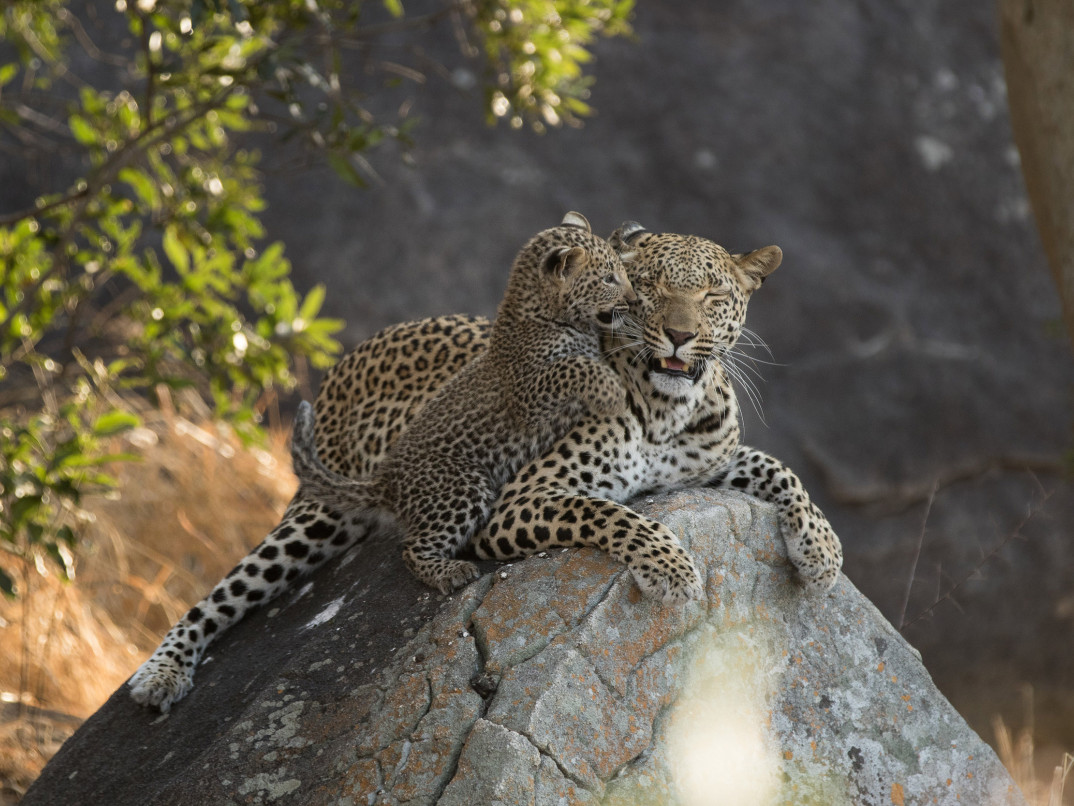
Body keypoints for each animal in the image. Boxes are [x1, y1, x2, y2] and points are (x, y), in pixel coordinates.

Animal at [128, 219, 844, 714]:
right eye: (649, 287)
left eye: (714, 293)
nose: (678, 334)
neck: (670, 407)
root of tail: (355, 350)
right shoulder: (521, 500)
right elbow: (613, 514)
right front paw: (672, 571)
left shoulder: (707, 464)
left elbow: (780, 469)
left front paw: (820, 552)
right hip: (317, 516)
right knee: (218, 596)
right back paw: (162, 673)